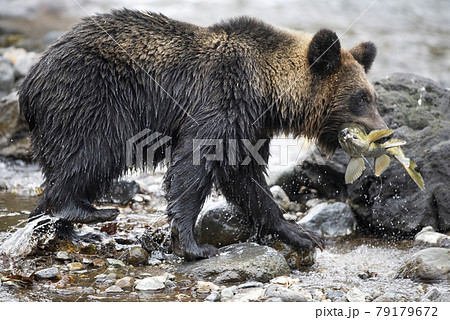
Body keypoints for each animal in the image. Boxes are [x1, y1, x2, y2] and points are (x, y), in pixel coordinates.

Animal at [18, 9, 386, 260]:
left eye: (371, 96)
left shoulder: (250, 126)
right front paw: (193, 244)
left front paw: (299, 232)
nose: (381, 133)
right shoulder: (222, 100)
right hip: (93, 98)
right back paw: (86, 211)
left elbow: (245, 178)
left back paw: (67, 230)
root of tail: (30, 81)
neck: (268, 90)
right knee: (93, 154)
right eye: (360, 98)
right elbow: (193, 165)